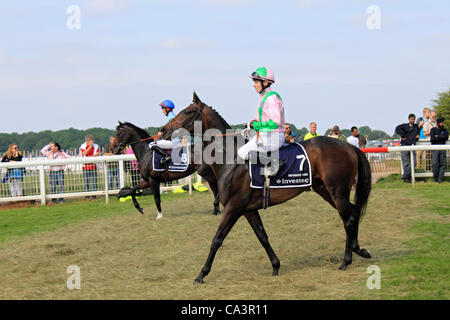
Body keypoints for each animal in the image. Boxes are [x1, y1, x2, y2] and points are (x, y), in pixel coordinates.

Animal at [160, 93, 370, 284]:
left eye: (187, 111)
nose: (163, 130)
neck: (232, 160)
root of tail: (349, 147)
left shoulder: (233, 207)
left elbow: (217, 239)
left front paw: (201, 274)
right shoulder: (248, 209)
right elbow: (262, 236)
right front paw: (276, 266)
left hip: (337, 191)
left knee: (348, 220)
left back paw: (346, 260)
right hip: (325, 190)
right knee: (354, 212)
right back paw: (359, 249)